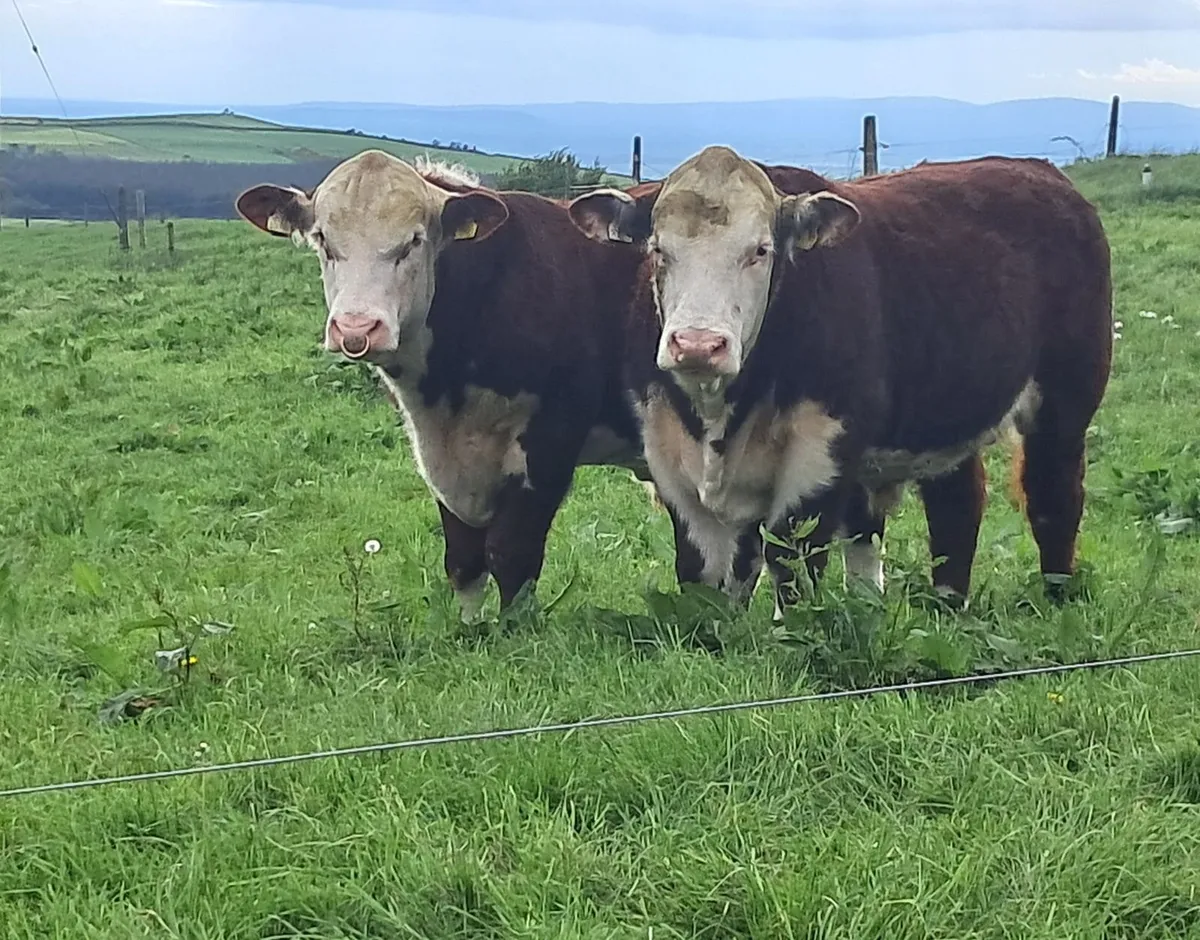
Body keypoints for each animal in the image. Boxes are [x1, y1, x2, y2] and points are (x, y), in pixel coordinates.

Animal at [235, 150, 652, 620]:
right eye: (323, 239)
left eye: (413, 242)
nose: (356, 328)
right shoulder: (439, 454)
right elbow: (464, 561)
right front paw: (469, 627)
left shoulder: (552, 441)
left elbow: (512, 554)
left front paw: (515, 629)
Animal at [566, 146, 1113, 616]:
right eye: (659, 250)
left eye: (760, 250)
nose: (698, 344)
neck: (719, 417)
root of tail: (1039, 169)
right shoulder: (669, 454)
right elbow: (703, 571)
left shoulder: (820, 452)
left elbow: (793, 555)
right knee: (955, 505)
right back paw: (945, 604)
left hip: (1066, 401)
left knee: (1054, 493)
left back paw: (1057, 594)